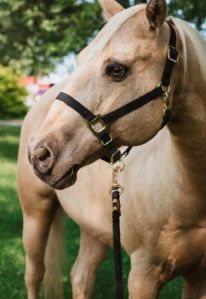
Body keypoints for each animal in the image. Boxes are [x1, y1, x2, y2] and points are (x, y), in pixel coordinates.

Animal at [16, 0, 206, 298]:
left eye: (117, 69)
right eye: (80, 60)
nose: (39, 154)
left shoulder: (199, 277)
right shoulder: (142, 275)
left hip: (95, 229)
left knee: (81, 276)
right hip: (35, 214)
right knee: (34, 274)